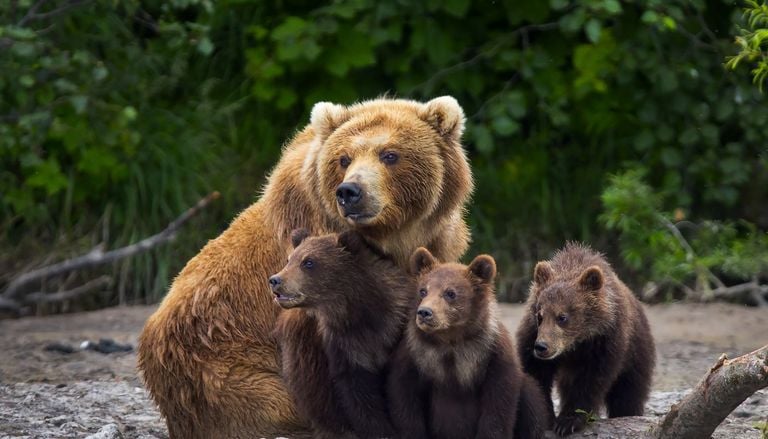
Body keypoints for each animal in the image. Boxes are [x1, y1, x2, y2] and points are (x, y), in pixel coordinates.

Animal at [271, 229, 414, 439]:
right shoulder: (345, 348)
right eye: (290, 259)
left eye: (308, 262)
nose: (275, 280)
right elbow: (360, 399)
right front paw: (379, 430)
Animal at [387, 247, 550, 439]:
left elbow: (499, 403)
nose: (425, 312)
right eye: (423, 290)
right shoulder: (416, 353)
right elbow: (404, 396)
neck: (450, 339)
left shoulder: (492, 353)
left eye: (450, 293)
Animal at [515, 242, 655, 436]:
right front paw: (546, 416)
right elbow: (536, 374)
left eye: (562, 317)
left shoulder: (605, 341)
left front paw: (567, 421)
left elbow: (591, 381)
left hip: (636, 352)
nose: (542, 347)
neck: (576, 343)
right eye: (540, 315)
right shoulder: (531, 334)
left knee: (629, 393)